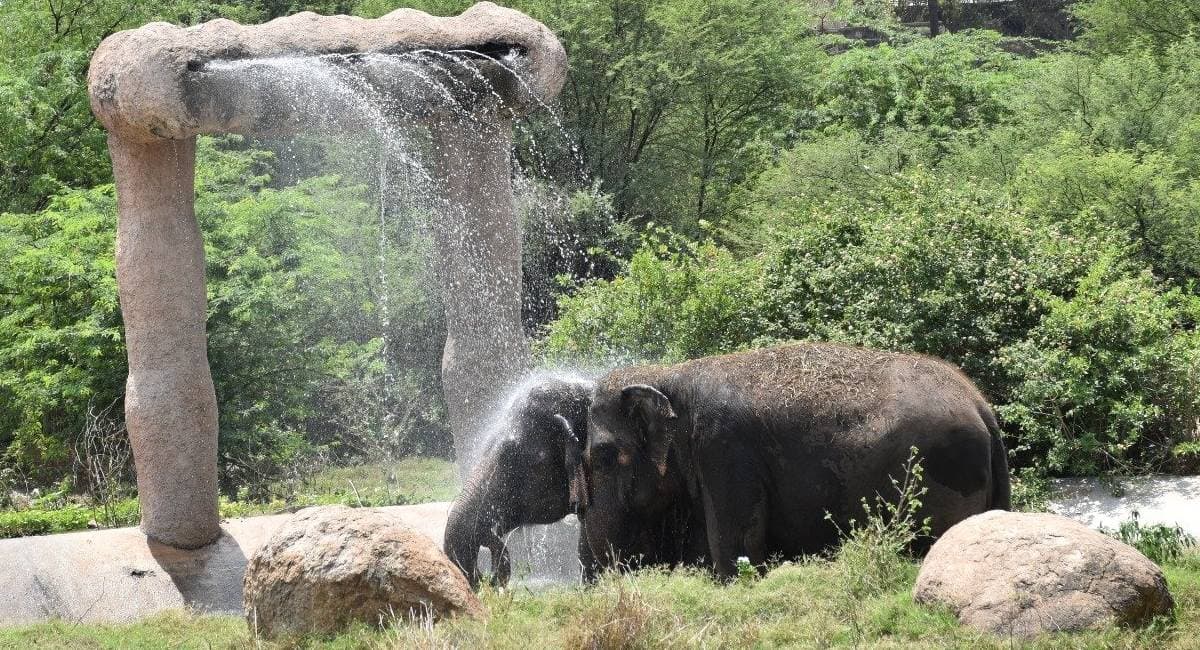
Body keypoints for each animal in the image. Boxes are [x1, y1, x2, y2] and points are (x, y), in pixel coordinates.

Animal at [576, 342, 1008, 582]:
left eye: (602, 457)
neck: (669, 375)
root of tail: (981, 406)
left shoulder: (724, 448)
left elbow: (737, 550)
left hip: (942, 472)